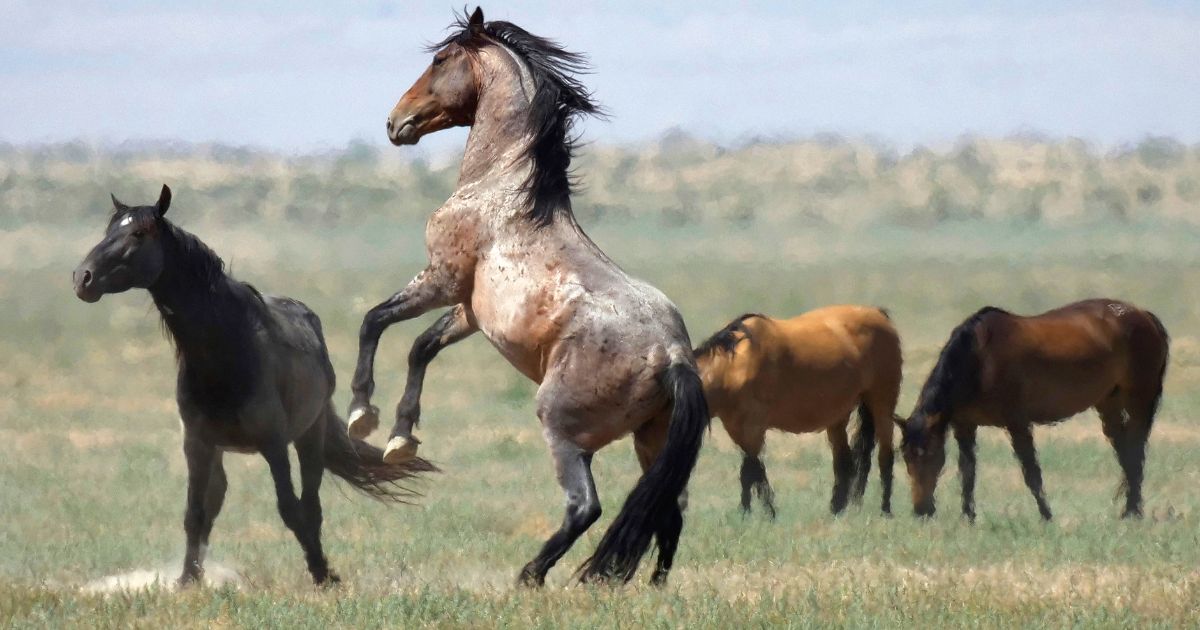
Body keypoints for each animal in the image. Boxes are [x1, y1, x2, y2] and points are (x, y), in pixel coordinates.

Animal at [71, 185, 435, 586]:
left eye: (138, 233)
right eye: (108, 230)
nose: (82, 278)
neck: (227, 349)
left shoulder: (273, 444)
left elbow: (291, 509)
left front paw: (322, 573)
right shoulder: (197, 444)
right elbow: (195, 513)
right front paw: (186, 581)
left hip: (309, 435)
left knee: (311, 503)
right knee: (215, 504)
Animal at [342, 8, 709, 586]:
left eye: (440, 60)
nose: (395, 122)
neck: (503, 189)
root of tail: (673, 357)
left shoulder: (440, 280)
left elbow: (374, 321)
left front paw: (362, 414)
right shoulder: (469, 311)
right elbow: (421, 347)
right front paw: (401, 438)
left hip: (562, 429)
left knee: (587, 507)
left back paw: (531, 576)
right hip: (650, 443)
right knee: (666, 510)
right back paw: (648, 588)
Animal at [693, 307, 903, 518]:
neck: (732, 368)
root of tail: (878, 313)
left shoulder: (753, 428)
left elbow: (750, 472)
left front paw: (758, 513)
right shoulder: (737, 429)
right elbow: (753, 471)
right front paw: (757, 512)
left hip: (882, 406)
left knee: (885, 457)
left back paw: (885, 510)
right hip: (838, 417)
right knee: (845, 462)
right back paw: (836, 510)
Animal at [899, 299, 1169, 521]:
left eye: (928, 453)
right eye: (906, 457)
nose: (921, 511)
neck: (979, 359)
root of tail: (1145, 316)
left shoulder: (1017, 423)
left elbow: (1031, 471)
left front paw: (1046, 515)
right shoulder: (964, 425)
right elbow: (967, 472)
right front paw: (968, 516)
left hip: (1139, 400)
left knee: (1136, 451)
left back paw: (1133, 512)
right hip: (1108, 403)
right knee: (1125, 452)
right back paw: (1128, 510)